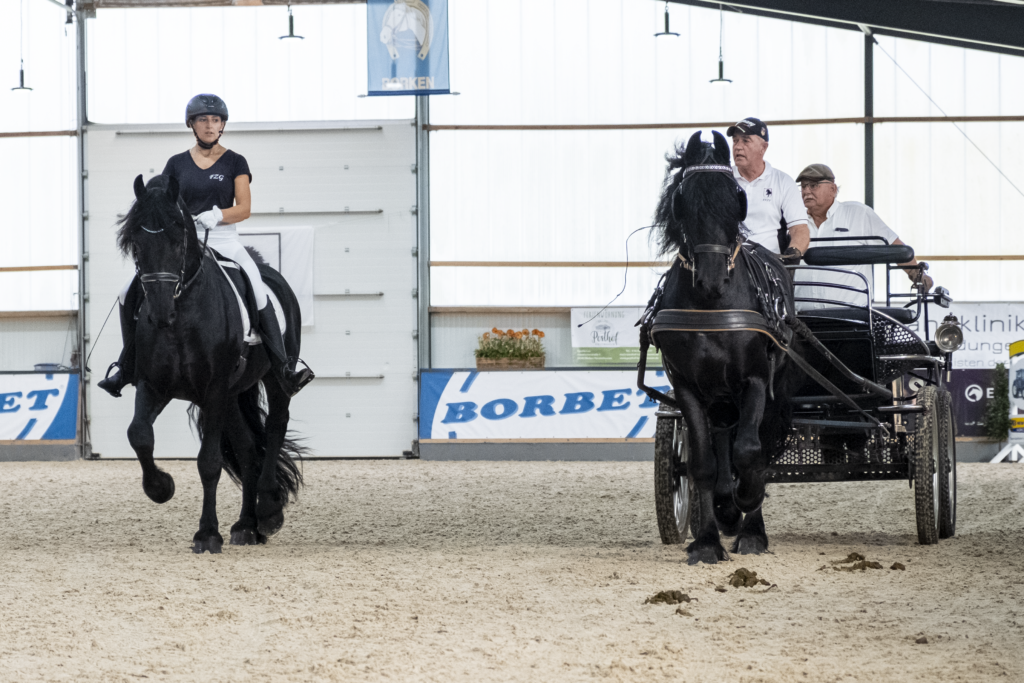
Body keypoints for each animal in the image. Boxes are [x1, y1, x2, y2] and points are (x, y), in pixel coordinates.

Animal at [117, 174, 303, 552]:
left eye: (179, 242)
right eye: (137, 246)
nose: (160, 314)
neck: (182, 315)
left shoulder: (214, 389)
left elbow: (209, 462)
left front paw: (206, 534)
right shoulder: (154, 385)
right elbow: (139, 434)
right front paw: (161, 487)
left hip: (272, 380)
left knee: (275, 426)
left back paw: (268, 511)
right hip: (231, 396)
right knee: (248, 449)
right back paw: (246, 526)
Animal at [638, 132, 798, 565]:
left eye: (734, 196)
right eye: (683, 197)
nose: (710, 279)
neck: (711, 306)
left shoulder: (756, 380)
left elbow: (750, 452)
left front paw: (750, 518)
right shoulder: (686, 386)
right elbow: (703, 462)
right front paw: (708, 540)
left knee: (757, 446)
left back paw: (747, 517)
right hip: (719, 396)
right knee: (722, 437)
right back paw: (725, 507)